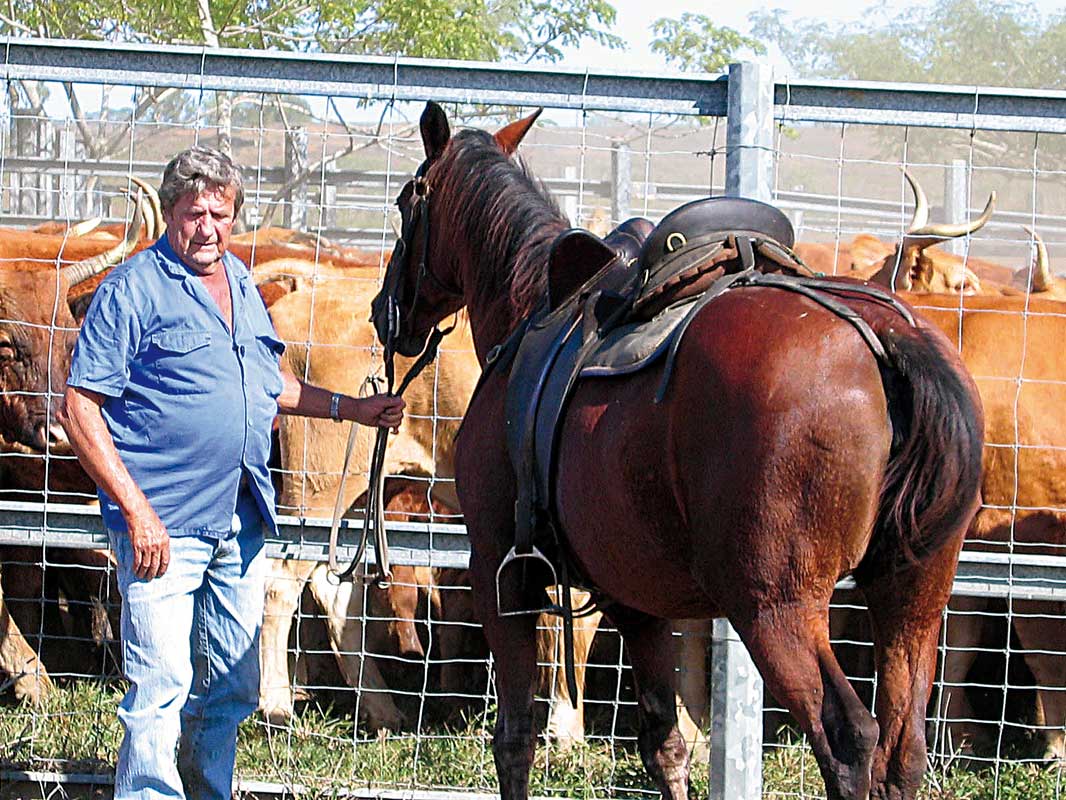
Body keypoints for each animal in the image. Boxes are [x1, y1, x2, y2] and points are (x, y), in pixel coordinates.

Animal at [369, 101, 985, 800]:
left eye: (406, 202)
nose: (385, 310)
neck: (531, 311)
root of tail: (881, 335)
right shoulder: (637, 602)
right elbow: (664, 743)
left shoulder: (503, 571)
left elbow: (516, 737)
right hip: (914, 594)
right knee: (901, 749)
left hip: (776, 607)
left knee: (849, 738)